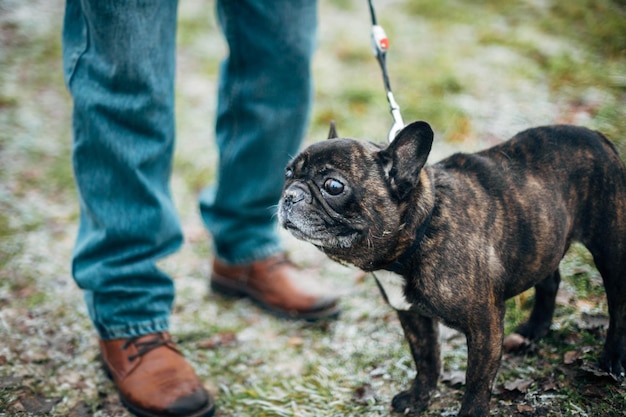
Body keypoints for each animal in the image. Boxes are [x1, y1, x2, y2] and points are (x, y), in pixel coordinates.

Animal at [278, 119, 624, 412]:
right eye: (287, 173)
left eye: (333, 186)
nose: (290, 195)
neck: (420, 231)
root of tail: (597, 136)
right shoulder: (412, 316)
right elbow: (426, 359)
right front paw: (418, 398)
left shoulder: (484, 326)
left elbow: (477, 383)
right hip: (542, 235)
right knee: (549, 277)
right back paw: (534, 329)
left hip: (610, 248)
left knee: (617, 303)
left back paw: (611, 361)